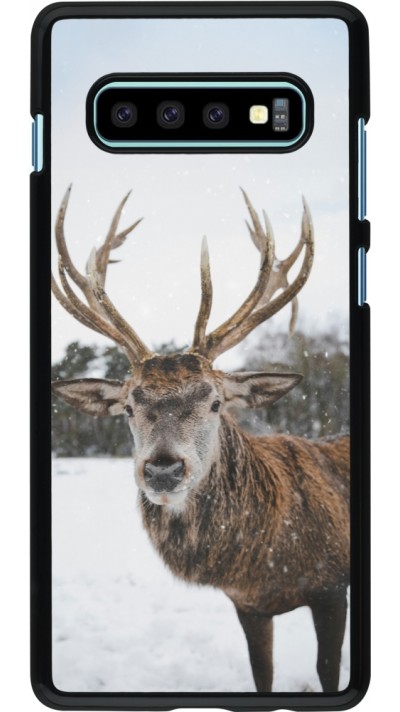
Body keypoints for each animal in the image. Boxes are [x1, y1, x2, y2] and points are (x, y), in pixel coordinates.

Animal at [51, 186, 350, 693]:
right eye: (128, 407)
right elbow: (262, 674)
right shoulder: (247, 605)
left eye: (214, 401)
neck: (267, 563)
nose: (163, 469)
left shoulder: (333, 587)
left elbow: (328, 671)